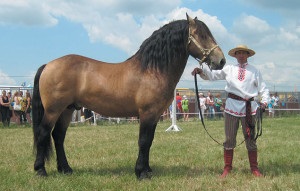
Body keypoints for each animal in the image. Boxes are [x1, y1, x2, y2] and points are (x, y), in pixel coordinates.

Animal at [32, 13, 225, 179]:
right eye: (201, 35)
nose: (221, 61)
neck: (152, 70)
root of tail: (48, 65)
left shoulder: (155, 115)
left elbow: (149, 141)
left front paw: (147, 169)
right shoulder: (147, 113)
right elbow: (144, 141)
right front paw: (141, 173)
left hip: (67, 109)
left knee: (58, 136)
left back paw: (66, 169)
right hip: (53, 110)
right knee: (43, 133)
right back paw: (41, 170)